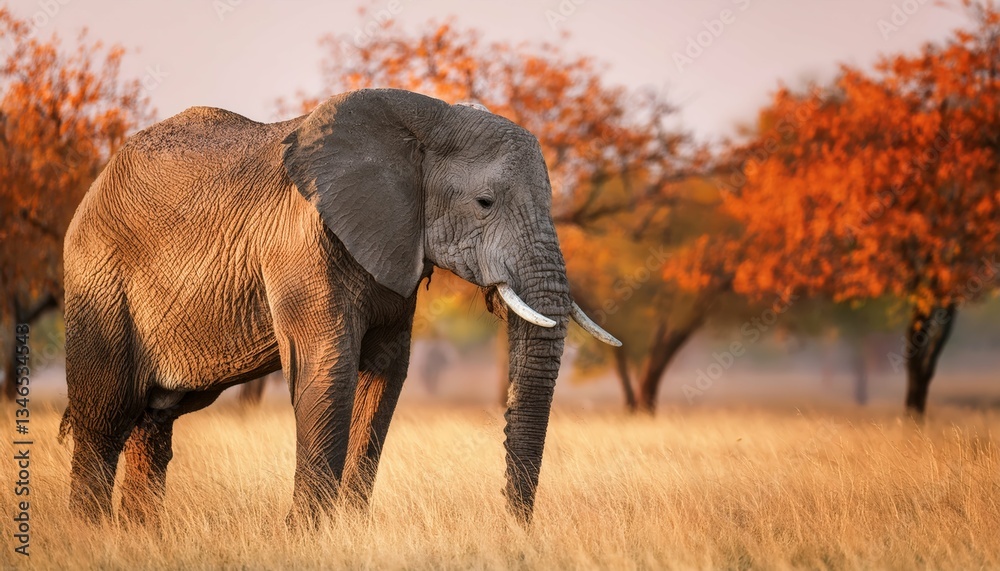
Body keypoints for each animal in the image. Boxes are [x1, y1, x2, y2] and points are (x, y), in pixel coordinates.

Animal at [60, 88, 619, 527]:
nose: (510, 524)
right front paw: (306, 534)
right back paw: (92, 535)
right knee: (103, 417)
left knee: (154, 423)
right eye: (484, 203)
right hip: (98, 281)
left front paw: (348, 529)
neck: (425, 119)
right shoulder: (303, 245)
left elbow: (386, 374)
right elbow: (329, 369)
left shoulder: (397, 249)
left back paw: (139, 534)